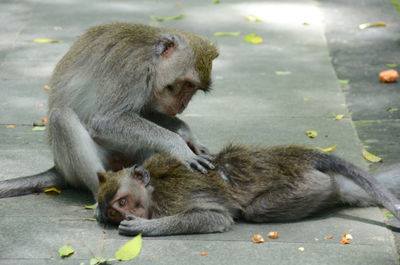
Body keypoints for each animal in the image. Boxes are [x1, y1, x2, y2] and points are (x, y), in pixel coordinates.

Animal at [0, 22, 219, 199]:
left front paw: (187, 135)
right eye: (188, 84)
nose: (183, 104)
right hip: (81, 167)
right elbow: (105, 120)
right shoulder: (132, 69)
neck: (151, 60)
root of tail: (58, 167)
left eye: (194, 89)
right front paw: (179, 146)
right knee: (61, 117)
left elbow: (144, 113)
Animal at [96, 143, 400, 236]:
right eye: (113, 212)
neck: (153, 189)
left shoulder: (173, 197)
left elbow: (215, 217)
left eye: (122, 202)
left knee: (255, 210)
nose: (123, 215)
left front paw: (143, 227)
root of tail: (297, 155)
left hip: (305, 183)